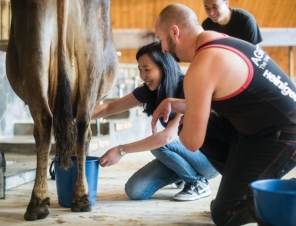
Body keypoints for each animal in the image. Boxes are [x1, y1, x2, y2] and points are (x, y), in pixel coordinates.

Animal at [5, 0, 117, 221]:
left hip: (36, 52)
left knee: (49, 123)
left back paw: (41, 202)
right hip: (89, 60)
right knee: (80, 127)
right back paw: (77, 198)